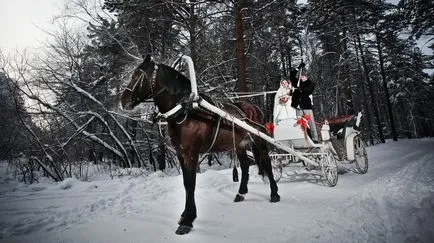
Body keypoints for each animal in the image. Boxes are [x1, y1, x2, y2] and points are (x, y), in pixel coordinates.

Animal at [120, 54, 280, 234]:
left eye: (137, 76)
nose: (123, 101)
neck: (187, 109)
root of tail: (253, 107)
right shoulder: (181, 153)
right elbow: (185, 183)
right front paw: (184, 215)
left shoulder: (192, 153)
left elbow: (191, 184)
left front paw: (188, 220)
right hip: (239, 144)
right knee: (245, 165)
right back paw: (241, 193)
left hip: (259, 139)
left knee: (266, 162)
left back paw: (274, 193)